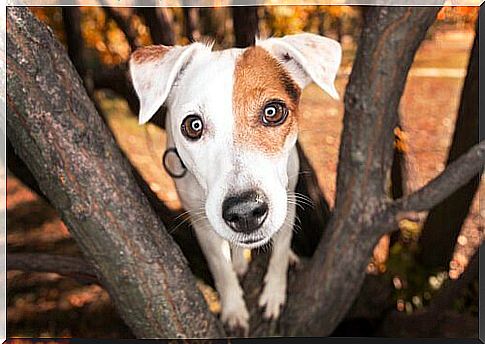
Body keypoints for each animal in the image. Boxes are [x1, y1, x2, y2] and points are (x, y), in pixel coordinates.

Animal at [129, 34, 340, 334]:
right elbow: (220, 266)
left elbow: (279, 251)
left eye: (273, 112)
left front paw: (274, 293)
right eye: (193, 125)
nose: (245, 212)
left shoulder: (287, 199)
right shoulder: (201, 221)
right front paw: (233, 309)